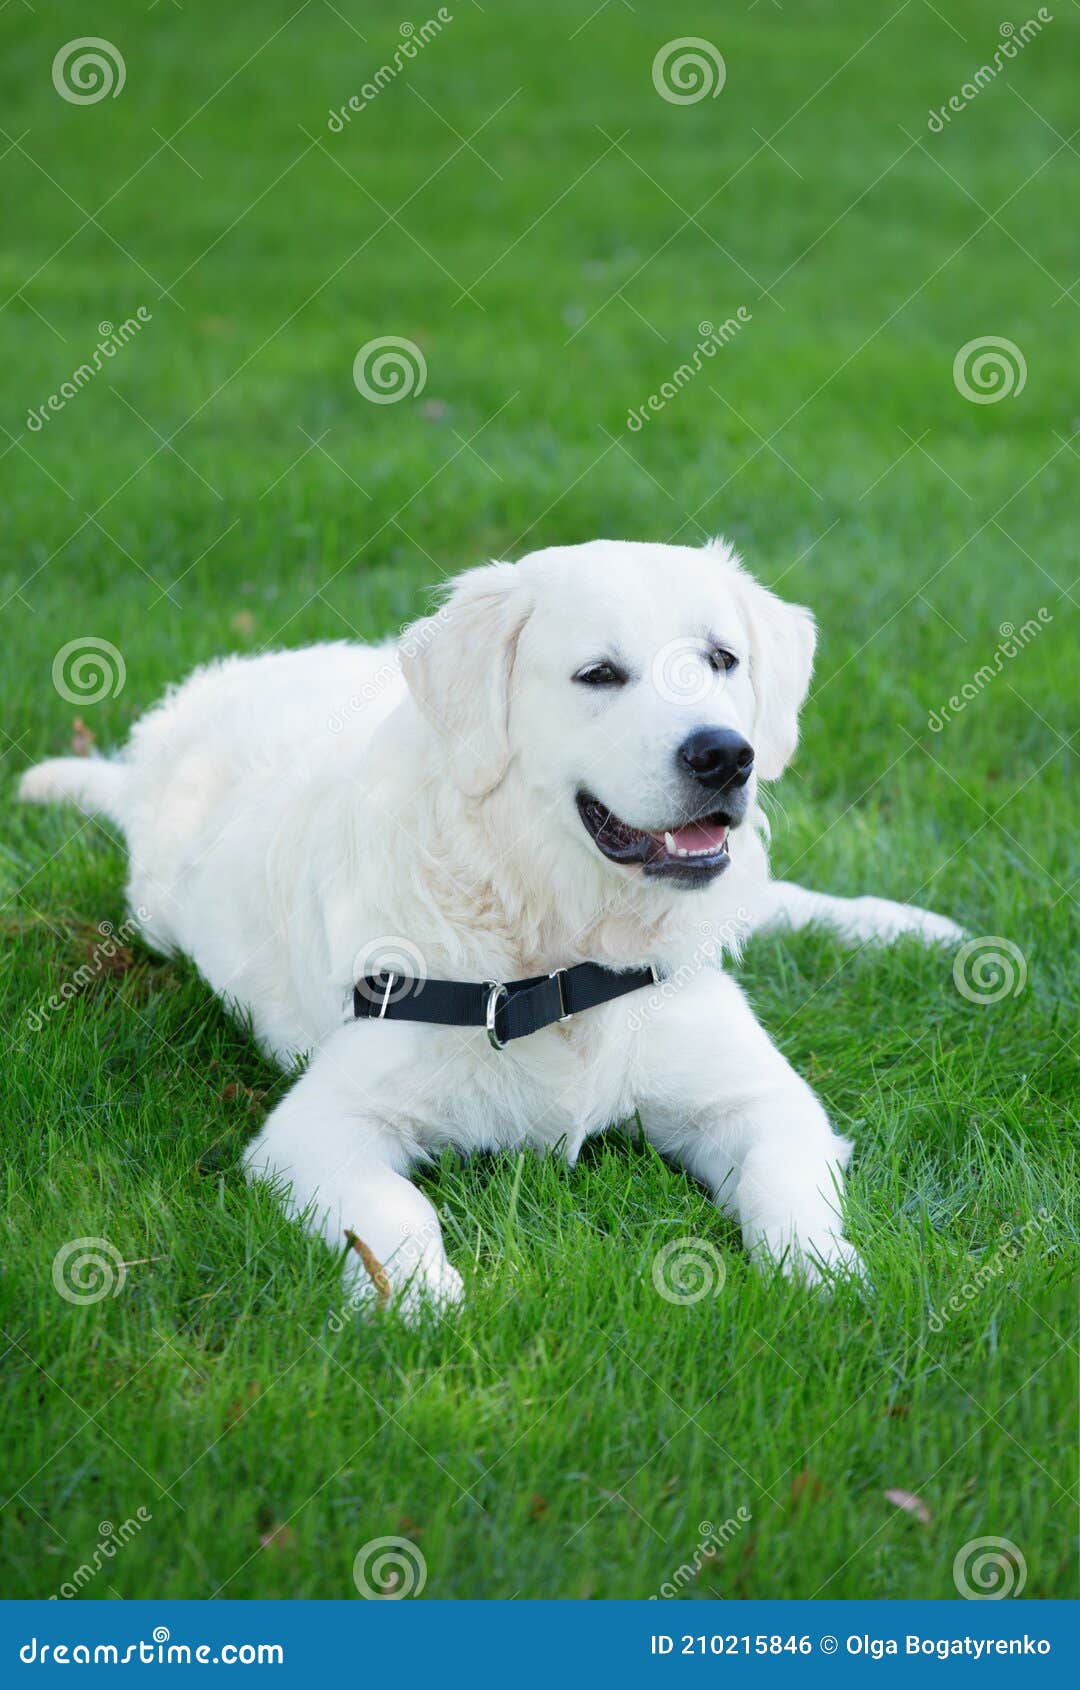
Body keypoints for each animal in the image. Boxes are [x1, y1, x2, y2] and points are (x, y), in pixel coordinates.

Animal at [19, 547, 960, 1311]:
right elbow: (395, 1211)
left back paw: (916, 928)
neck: (564, 946)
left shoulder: (759, 1097)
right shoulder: (317, 1128)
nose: (726, 754)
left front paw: (826, 1277)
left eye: (722, 658)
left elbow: (785, 1193)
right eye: (599, 675)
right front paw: (417, 1302)